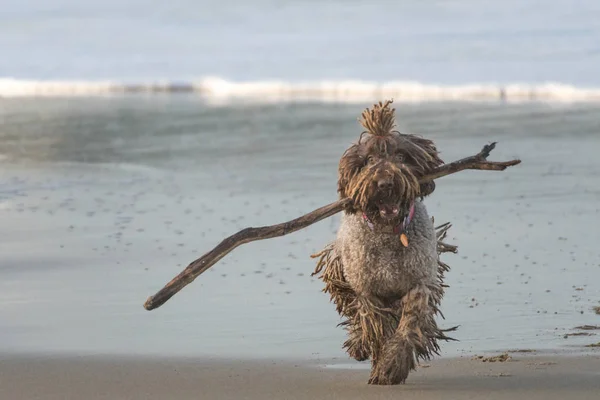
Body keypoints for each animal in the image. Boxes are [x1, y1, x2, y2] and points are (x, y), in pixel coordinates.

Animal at [312, 99, 458, 384]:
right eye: (369, 160)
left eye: (400, 157)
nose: (384, 183)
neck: (388, 233)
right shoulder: (368, 291)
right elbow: (376, 326)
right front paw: (380, 361)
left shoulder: (419, 284)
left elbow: (409, 323)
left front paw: (392, 365)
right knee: (356, 316)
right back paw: (359, 346)